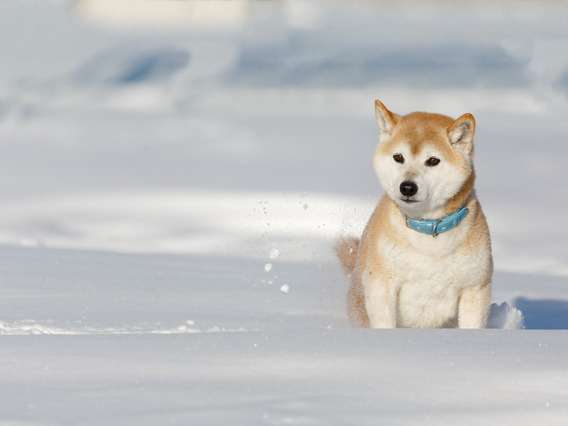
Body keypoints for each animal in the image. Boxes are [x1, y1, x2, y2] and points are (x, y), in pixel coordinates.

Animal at [338, 100, 492, 330]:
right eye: (398, 157)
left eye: (433, 160)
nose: (408, 187)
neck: (428, 231)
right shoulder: (381, 286)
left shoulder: (475, 289)